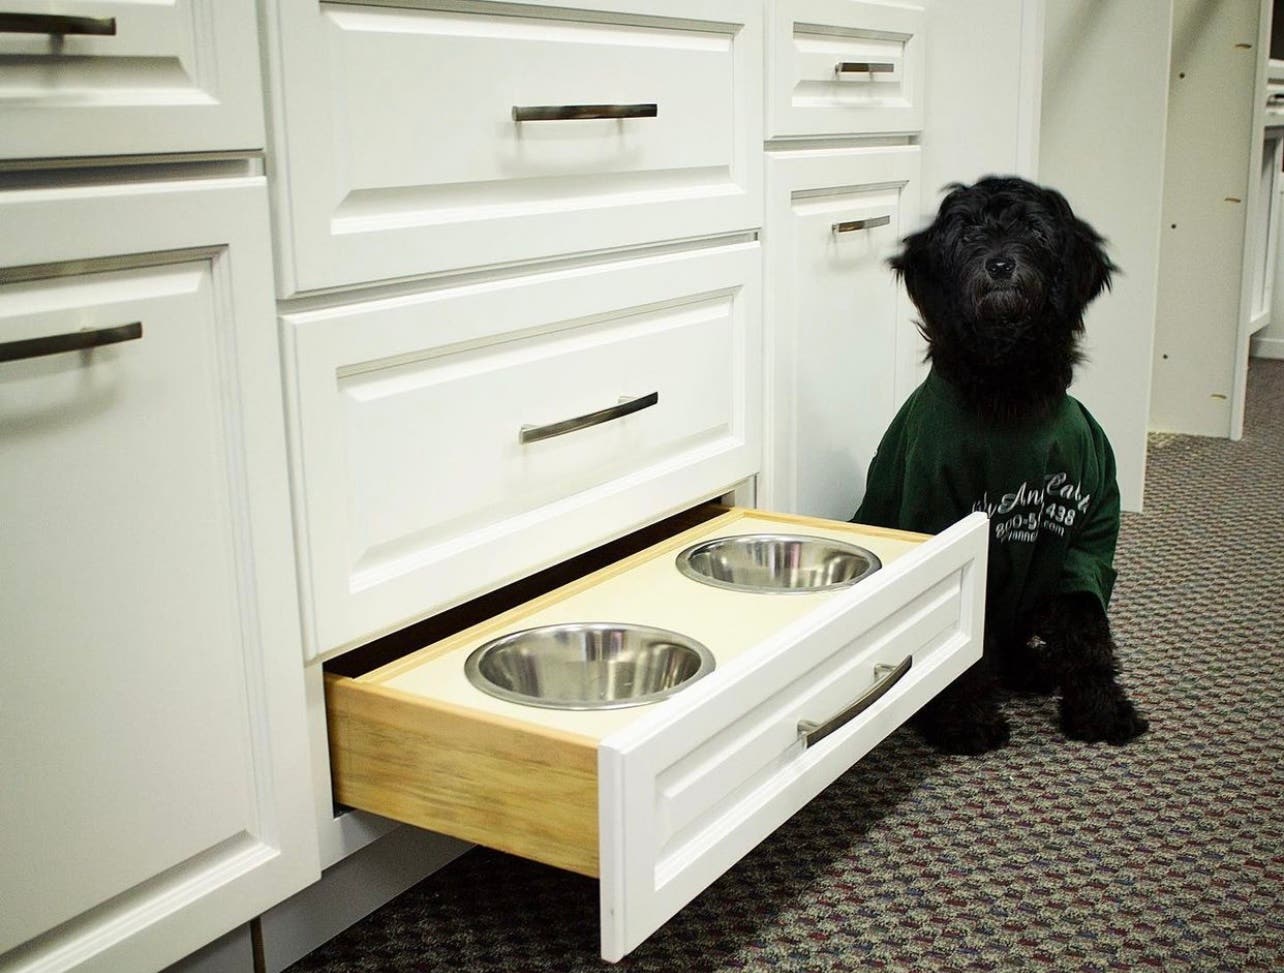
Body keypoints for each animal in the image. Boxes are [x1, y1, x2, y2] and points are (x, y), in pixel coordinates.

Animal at [857, 173, 1150, 754]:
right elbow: (966, 646)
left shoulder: (1087, 536)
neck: (1008, 388)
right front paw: (967, 723)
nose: (998, 265)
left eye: (1035, 231)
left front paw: (1102, 713)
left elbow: (1087, 632)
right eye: (967, 231)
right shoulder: (943, 516)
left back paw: (1035, 670)